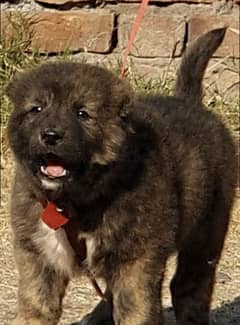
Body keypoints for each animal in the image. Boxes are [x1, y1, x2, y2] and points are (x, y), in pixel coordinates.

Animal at [6, 28, 237, 324]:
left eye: (83, 114)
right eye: (36, 109)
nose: (50, 135)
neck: (72, 204)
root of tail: (188, 100)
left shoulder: (136, 262)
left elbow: (135, 310)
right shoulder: (39, 259)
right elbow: (36, 309)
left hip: (207, 230)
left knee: (190, 285)